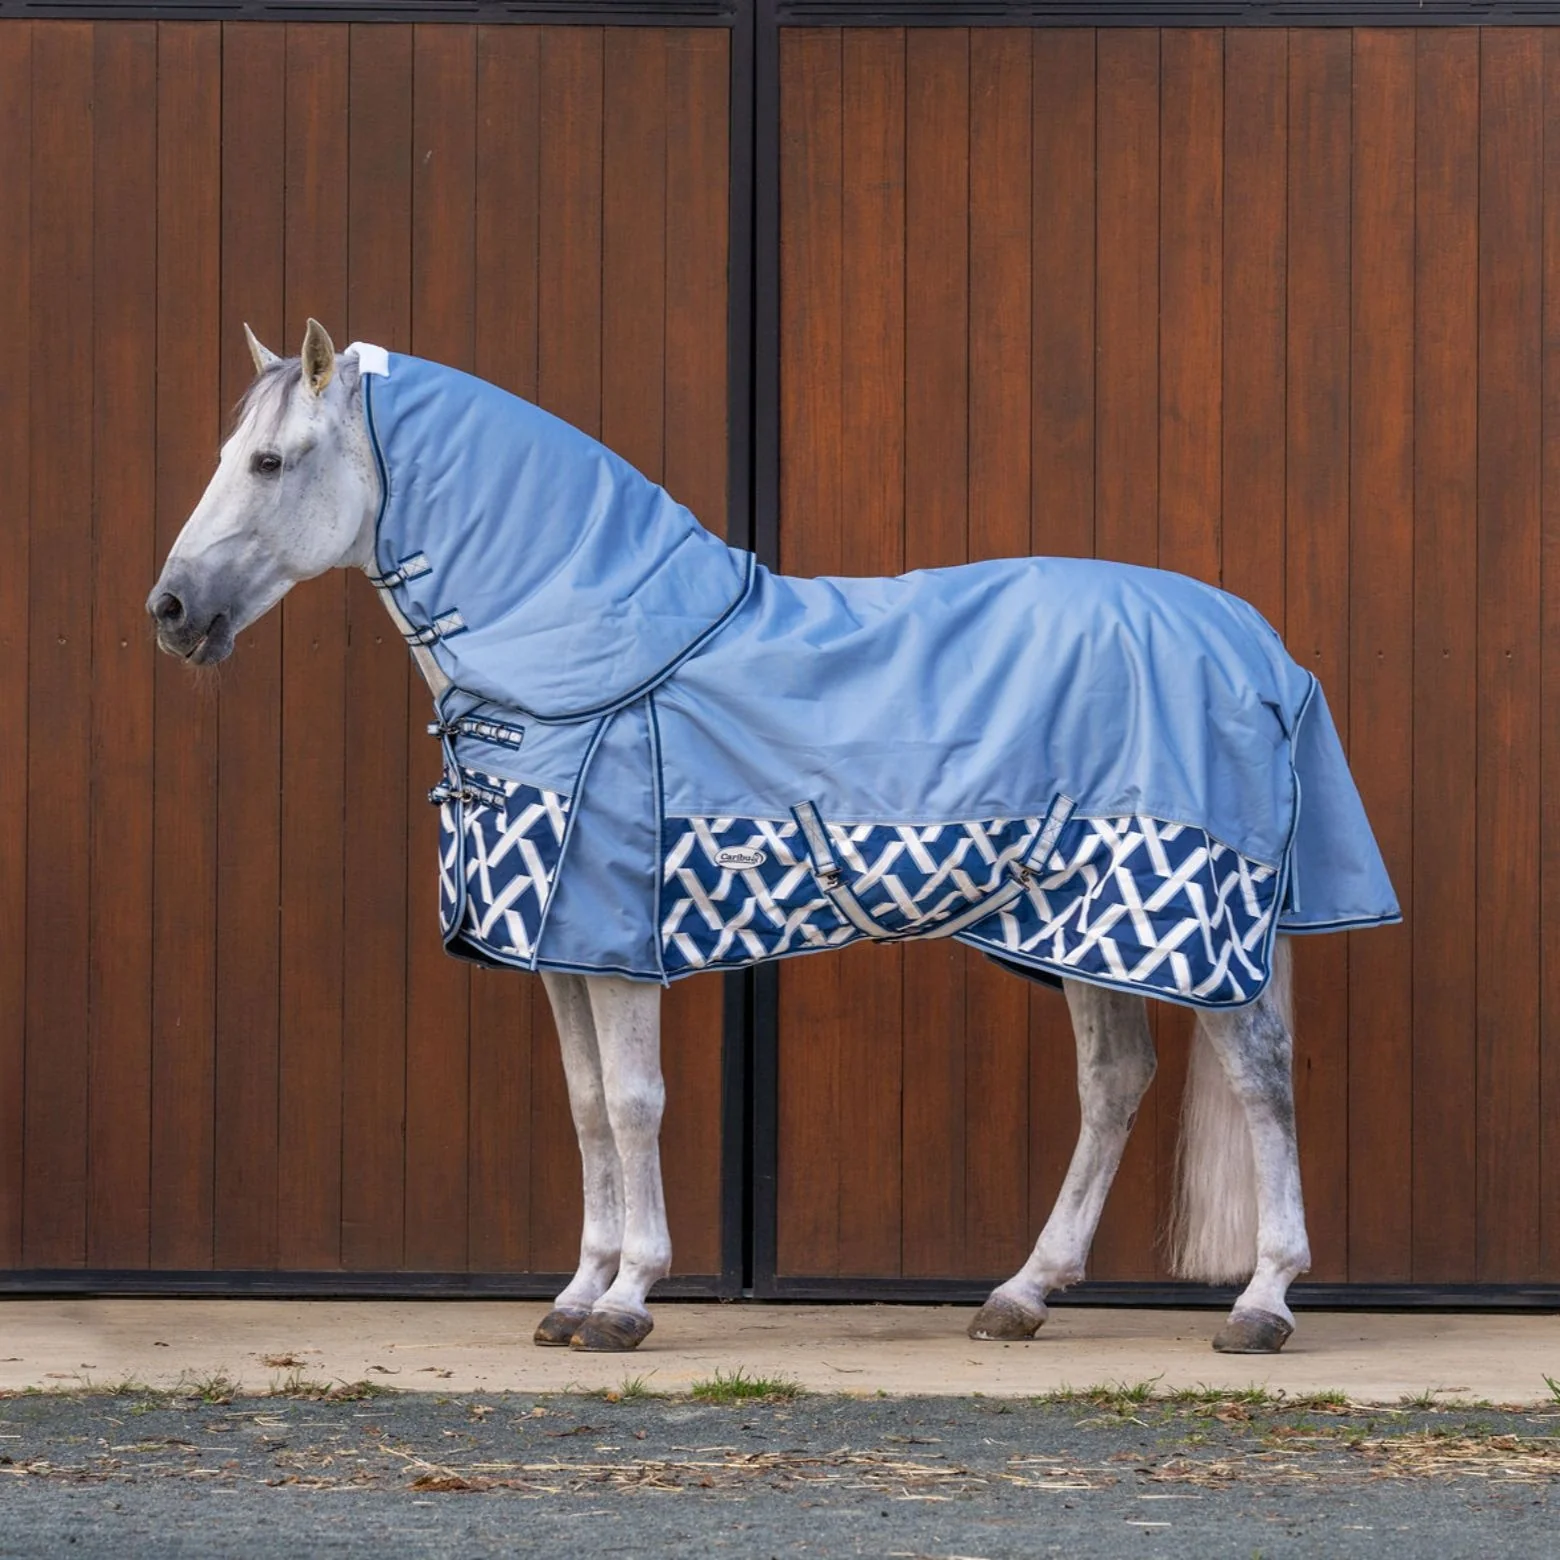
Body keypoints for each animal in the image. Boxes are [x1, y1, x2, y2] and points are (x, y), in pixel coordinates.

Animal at [148, 320, 1400, 1356]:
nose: (168, 611)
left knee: (1261, 1083)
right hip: (1081, 930)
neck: (588, 658)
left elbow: (636, 1103)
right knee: (1116, 1082)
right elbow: (587, 1107)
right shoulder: (559, 950)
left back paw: (1262, 1305)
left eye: (270, 463)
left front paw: (626, 1301)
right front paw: (573, 1296)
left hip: (1189, 931)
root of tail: (1255, 643)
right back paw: (1021, 1296)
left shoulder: (615, 945)